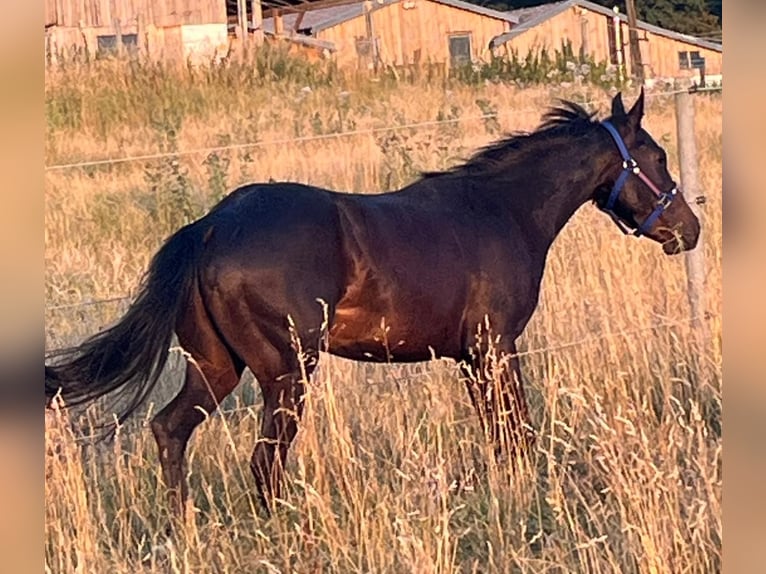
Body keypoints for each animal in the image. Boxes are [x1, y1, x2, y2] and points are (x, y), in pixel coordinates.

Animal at [45, 90, 700, 517]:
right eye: (656, 156)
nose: (688, 230)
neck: (502, 211)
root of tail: (209, 227)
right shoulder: (496, 347)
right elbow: (518, 432)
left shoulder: (471, 358)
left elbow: (501, 435)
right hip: (286, 373)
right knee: (263, 464)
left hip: (217, 367)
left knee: (170, 431)